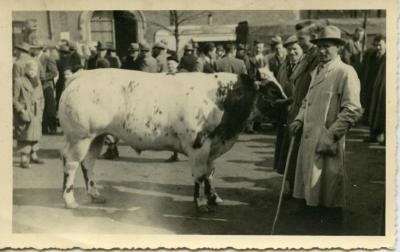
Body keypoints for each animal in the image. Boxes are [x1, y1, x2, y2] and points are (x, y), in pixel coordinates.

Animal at [58, 68, 284, 212]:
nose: (289, 103)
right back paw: (70, 200)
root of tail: (80, 75)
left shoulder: (213, 146)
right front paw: (201, 203)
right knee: (71, 164)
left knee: (88, 164)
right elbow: (200, 175)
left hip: (97, 136)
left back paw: (95, 195)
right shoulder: (198, 146)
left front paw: (214, 198)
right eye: (273, 90)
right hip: (80, 137)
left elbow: (210, 173)